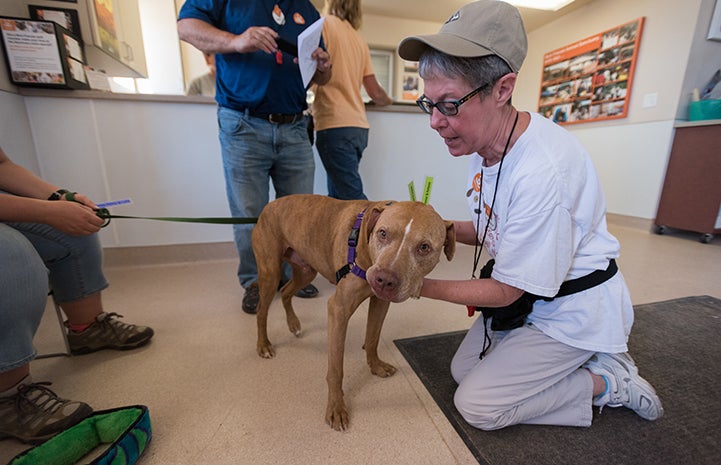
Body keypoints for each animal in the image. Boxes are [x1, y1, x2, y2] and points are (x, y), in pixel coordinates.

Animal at [253, 192, 452, 428]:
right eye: (382, 233)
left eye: (424, 247)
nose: (384, 280)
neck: (364, 246)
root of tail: (268, 206)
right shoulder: (338, 309)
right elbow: (336, 368)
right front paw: (336, 408)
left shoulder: (380, 302)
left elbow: (373, 337)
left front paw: (375, 366)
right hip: (270, 272)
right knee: (261, 310)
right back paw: (264, 345)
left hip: (306, 270)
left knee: (285, 291)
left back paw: (293, 324)